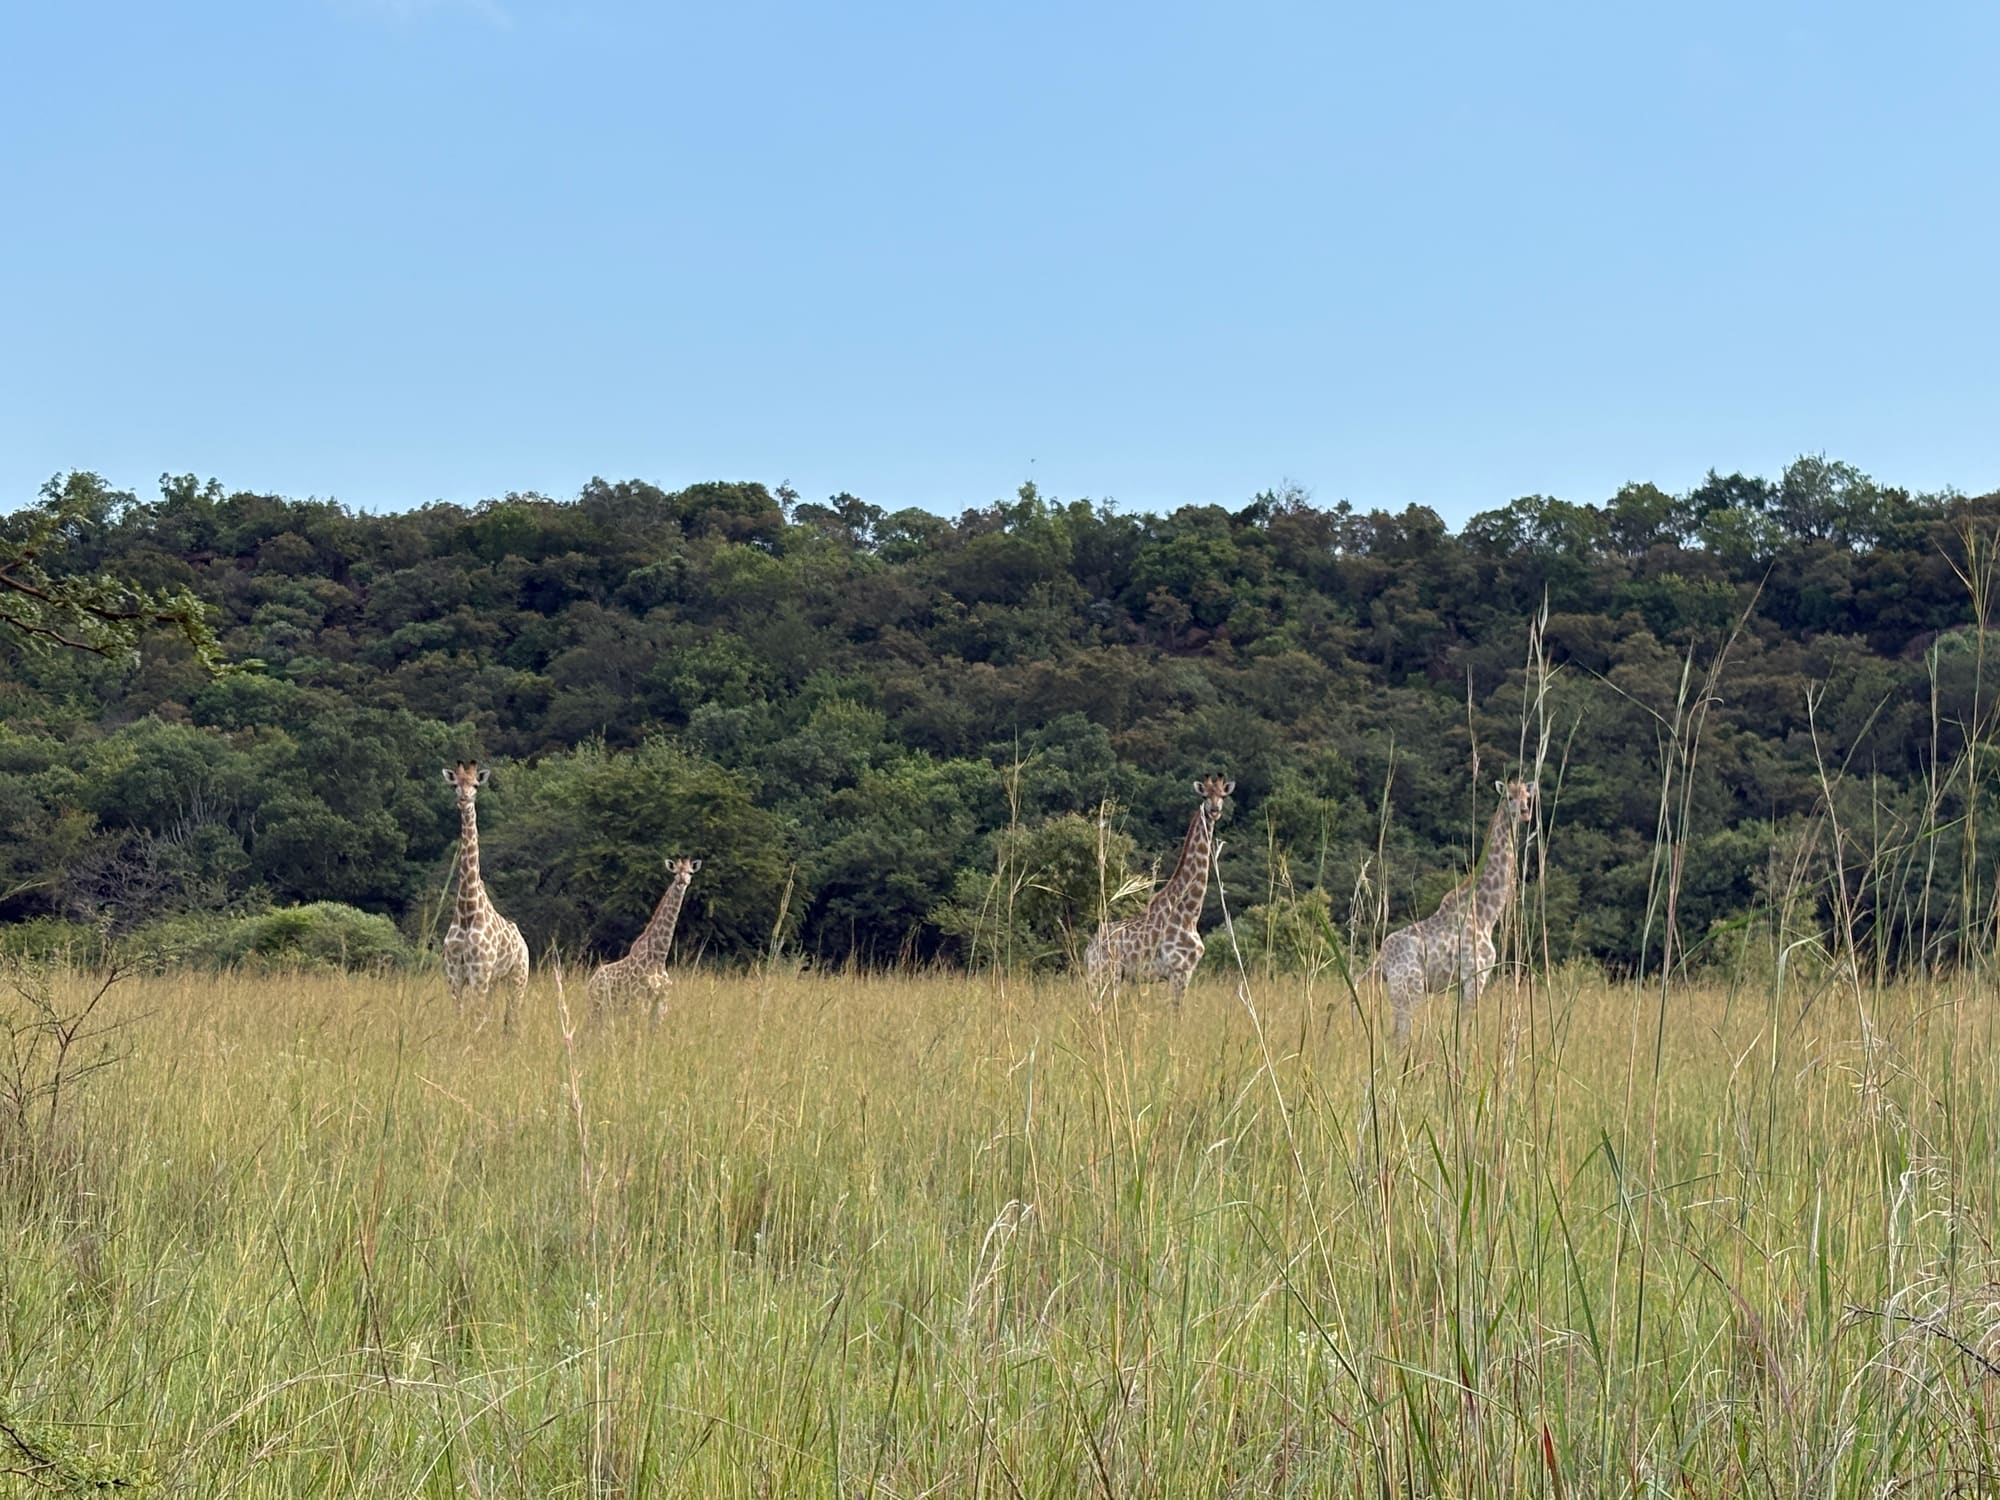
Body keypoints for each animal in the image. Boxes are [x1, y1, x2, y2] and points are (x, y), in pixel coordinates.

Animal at [440, 761, 530, 1032]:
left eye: (476, 785)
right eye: (455, 784)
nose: (464, 799)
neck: (467, 910)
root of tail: (523, 942)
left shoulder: (479, 971)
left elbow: (477, 1019)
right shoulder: (454, 974)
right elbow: (461, 1017)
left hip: (518, 977)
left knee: (512, 1017)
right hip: (494, 980)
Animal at [588, 856, 701, 1021]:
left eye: (690, 872)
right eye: (675, 873)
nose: (682, 882)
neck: (659, 956)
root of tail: (591, 981)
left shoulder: (661, 1003)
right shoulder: (641, 1000)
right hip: (597, 1005)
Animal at [1083, 773, 1234, 1011]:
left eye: (1222, 795)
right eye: (1205, 795)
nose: (1214, 810)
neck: (1190, 913)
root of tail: (1089, 949)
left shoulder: (1183, 973)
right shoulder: (1180, 971)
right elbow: (1176, 1013)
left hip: (1104, 976)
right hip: (1107, 973)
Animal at [1376, 778, 1535, 1046]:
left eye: (1527, 797)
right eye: (1509, 797)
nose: (1524, 812)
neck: (1486, 914)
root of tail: (1381, 960)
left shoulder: (1463, 983)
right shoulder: (1476, 976)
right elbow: (1467, 1029)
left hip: (1401, 993)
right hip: (1410, 990)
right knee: (1400, 1038)